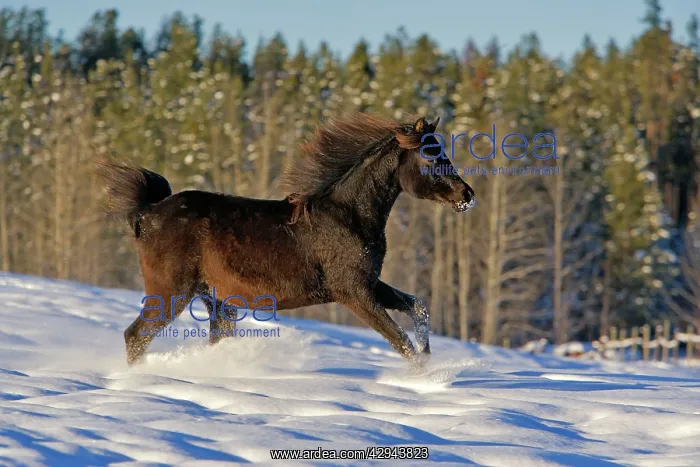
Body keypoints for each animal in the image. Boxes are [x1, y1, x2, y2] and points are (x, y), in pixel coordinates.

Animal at [98, 113, 475, 368]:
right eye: (430, 155)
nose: (467, 195)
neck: (348, 215)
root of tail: (146, 213)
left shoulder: (368, 283)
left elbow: (418, 308)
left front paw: (431, 360)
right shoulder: (351, 291)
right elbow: (401, 341)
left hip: (216, 300)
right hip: (170, 292)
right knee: (135, 336)